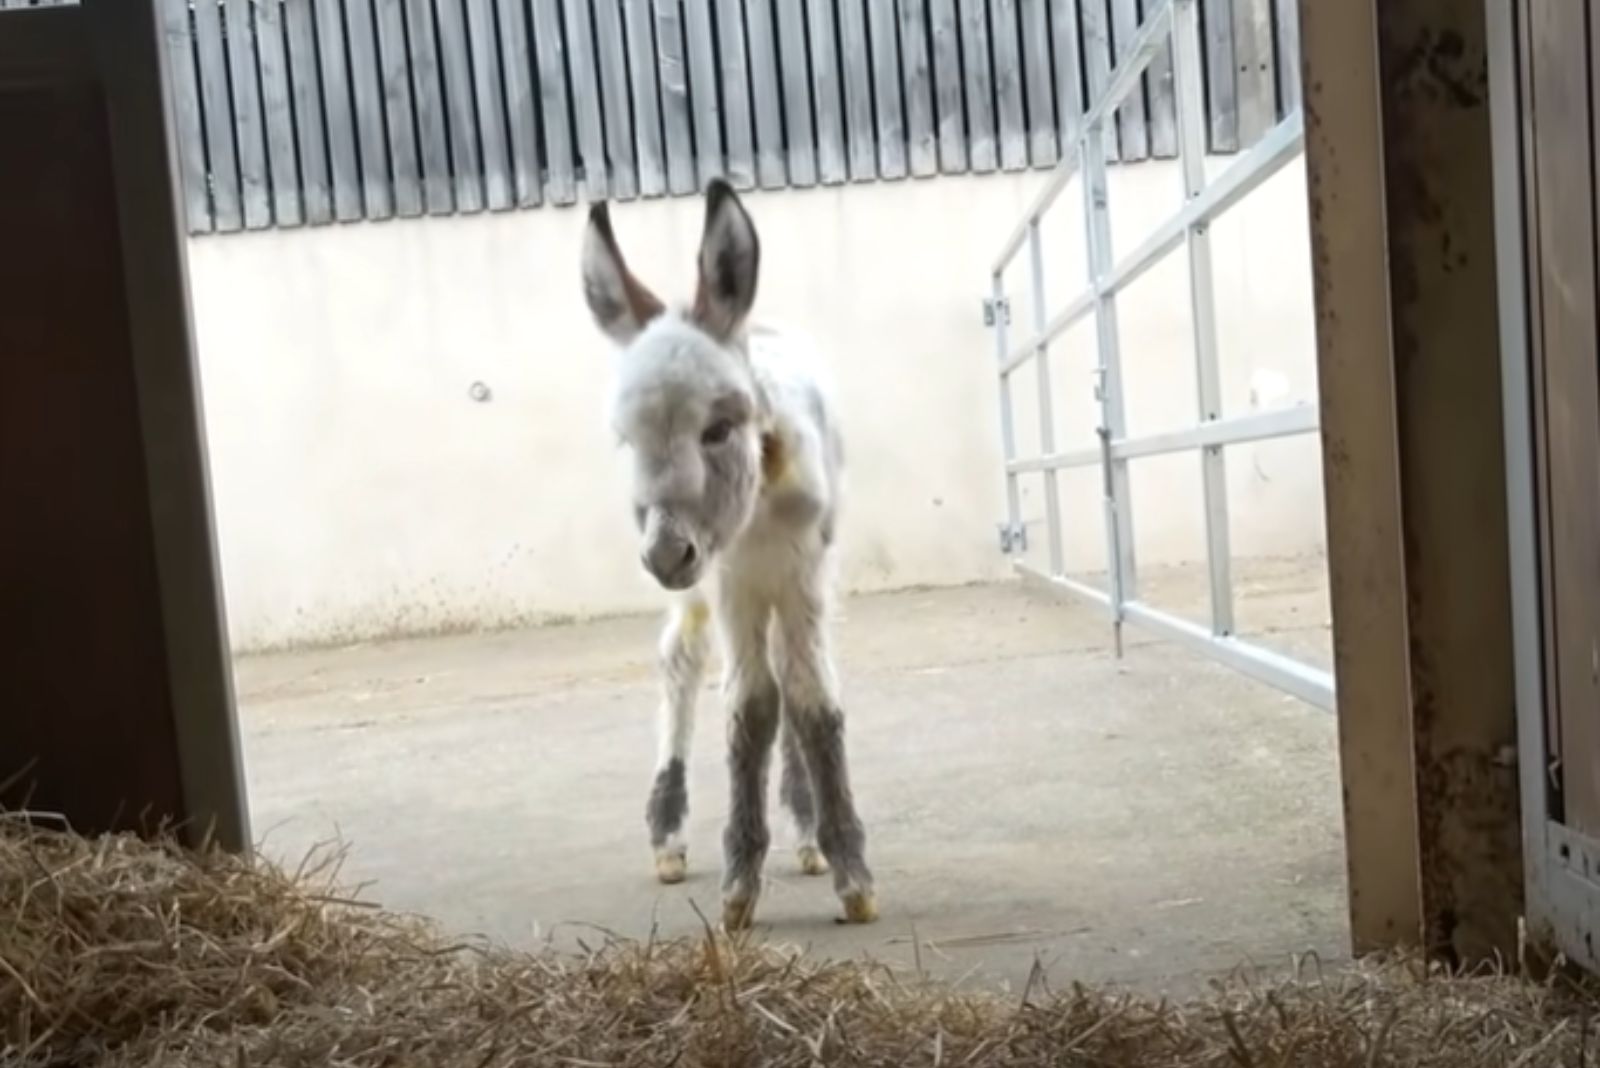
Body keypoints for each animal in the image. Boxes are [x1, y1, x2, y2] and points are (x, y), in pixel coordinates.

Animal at [579, 181, 876, 927]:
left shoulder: (802, 570)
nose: (664, 556)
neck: (760, 510)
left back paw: (807, 832)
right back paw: (669, 836)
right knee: (681, 658)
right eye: (627, 440)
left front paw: (852, 875)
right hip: (705, 587)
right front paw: (740, 886)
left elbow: (810, 699)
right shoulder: (731, 578)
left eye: (717, 428)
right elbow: (751, 703)